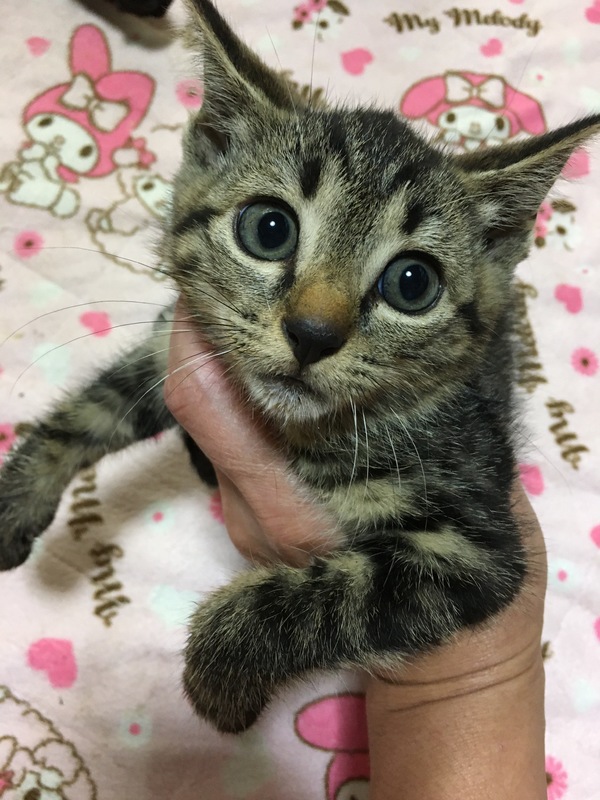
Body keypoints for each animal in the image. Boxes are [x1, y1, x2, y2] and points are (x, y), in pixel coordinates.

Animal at [1, 0, 599, 734]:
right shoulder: (184, 343)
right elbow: (95, 407)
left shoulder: (473, 545)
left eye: (412, 283)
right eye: (269, 229)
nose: (313, 334)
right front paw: (18, 497)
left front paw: (221, 679)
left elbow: (331, 597)